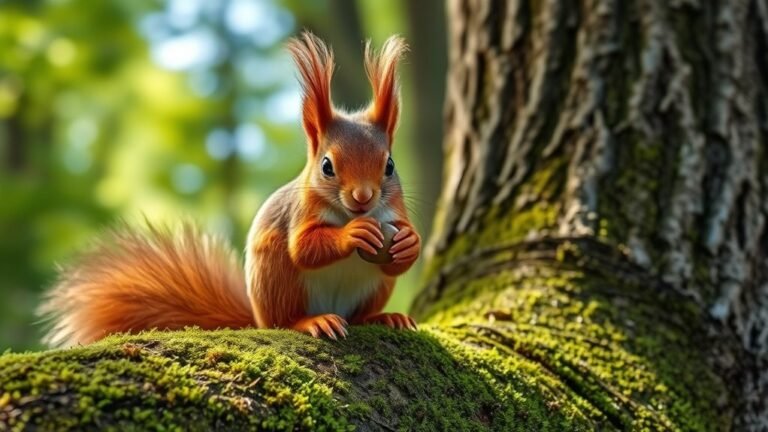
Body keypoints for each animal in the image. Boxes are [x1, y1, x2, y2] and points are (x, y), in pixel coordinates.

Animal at [38, 32, 421, 347]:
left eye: (389, 166)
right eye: (327, 166)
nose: (363, 197)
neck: (347, 212)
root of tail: (257, 318)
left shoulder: (394, 211)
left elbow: (399, 258)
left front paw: (409, 243)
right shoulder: (300, 213)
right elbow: (304, 248)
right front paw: (352, 234)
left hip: (373, 288)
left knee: (360, 313)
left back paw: (383, 317)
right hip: (277, 280)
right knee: (284, 318)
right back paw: (312, 322)